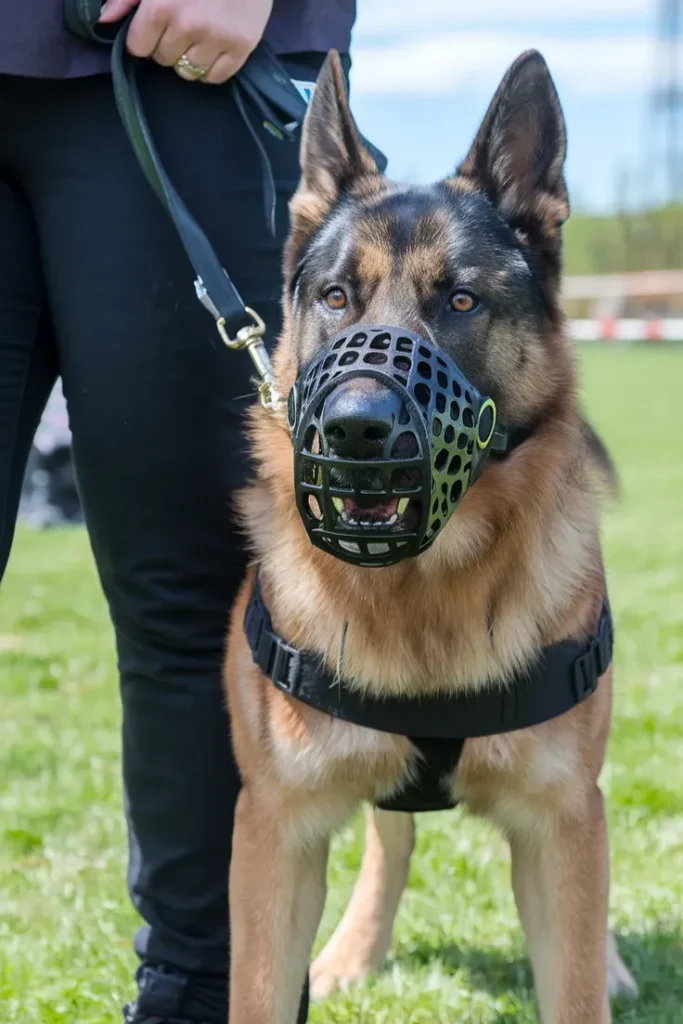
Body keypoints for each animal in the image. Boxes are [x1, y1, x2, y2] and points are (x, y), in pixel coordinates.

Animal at [227, 49, 638, 1024]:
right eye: (335, 296)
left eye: (460, 299)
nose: (356, 430)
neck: (425, 588)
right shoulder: (275, 834)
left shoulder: (559, 824)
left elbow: (572, 977)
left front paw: (594, 969)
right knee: (393, 842)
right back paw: (352, 950)